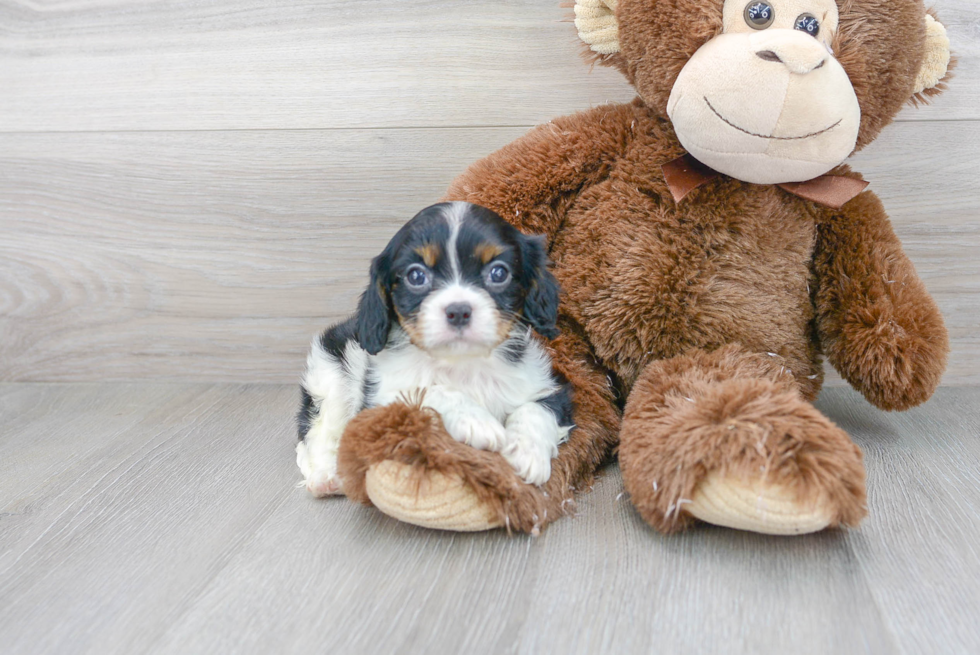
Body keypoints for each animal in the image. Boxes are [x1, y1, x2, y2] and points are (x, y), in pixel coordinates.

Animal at [298, 201, 576, 498]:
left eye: (499, 273)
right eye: (416, 276)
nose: (459, 311)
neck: (462, 362)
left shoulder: (549, 383)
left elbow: (537, 408)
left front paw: (526, 450)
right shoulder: (381, 405)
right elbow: (430, 391)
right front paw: (476, 421)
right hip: (331, 378)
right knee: (317, 434)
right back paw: (327, 476)